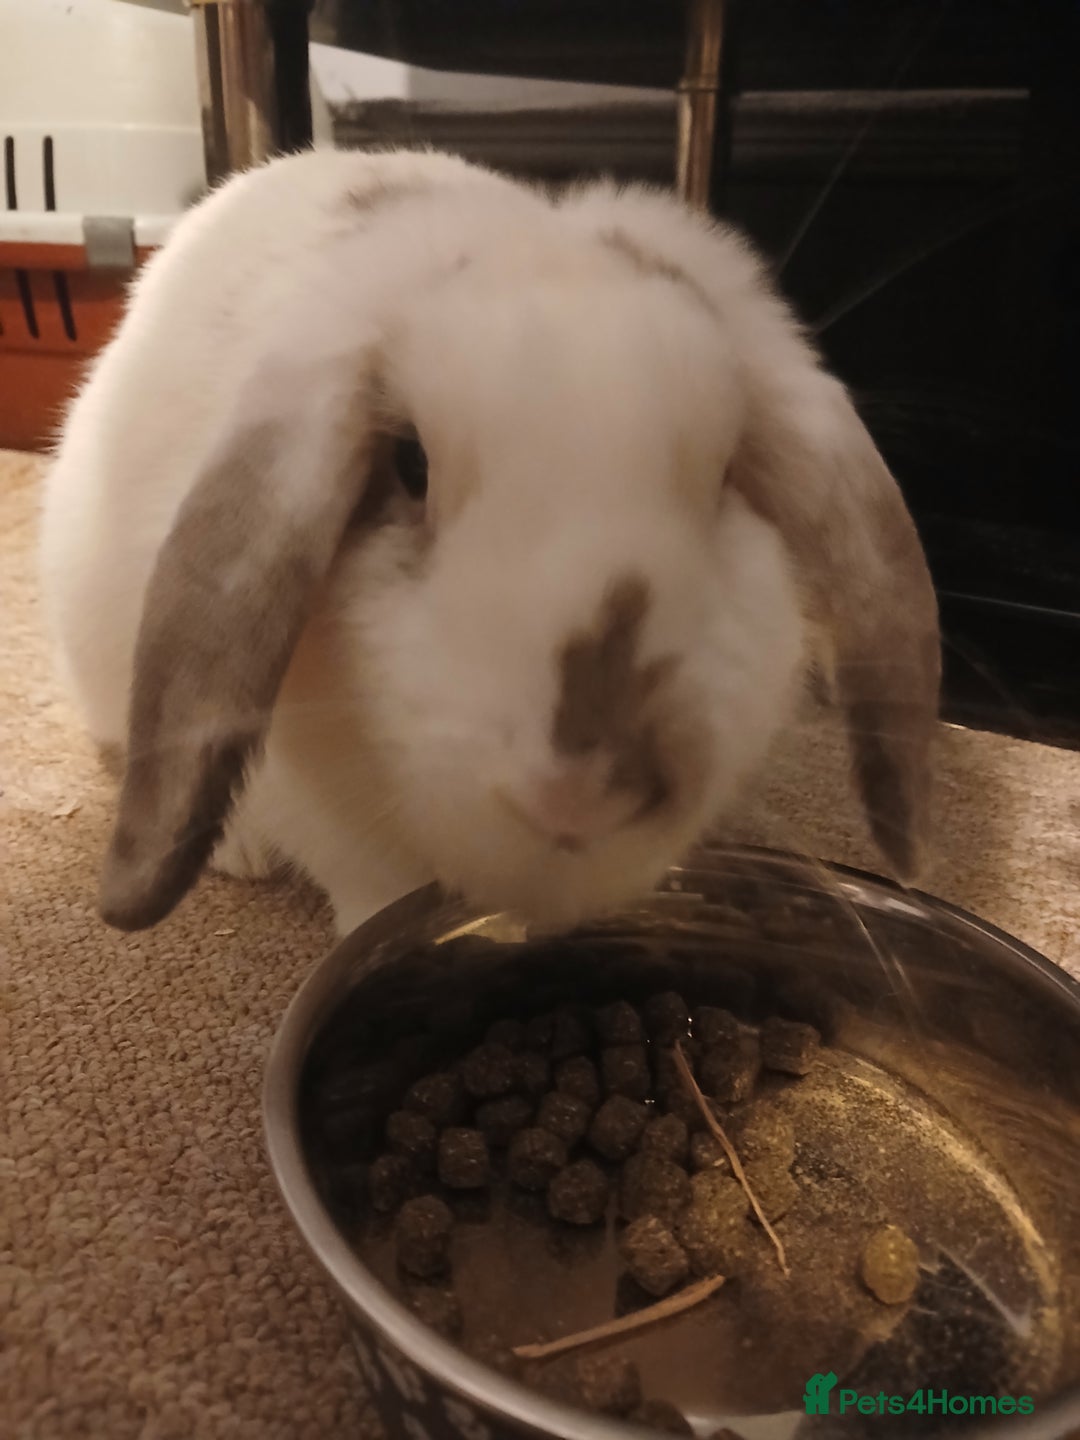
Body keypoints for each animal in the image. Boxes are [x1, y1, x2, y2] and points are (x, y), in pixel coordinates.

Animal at [39, 147, 940, 938]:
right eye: (409, 464)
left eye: (726, 473)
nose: (586, 790)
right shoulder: (328, 816)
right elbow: (366, 883)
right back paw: (243, 852)